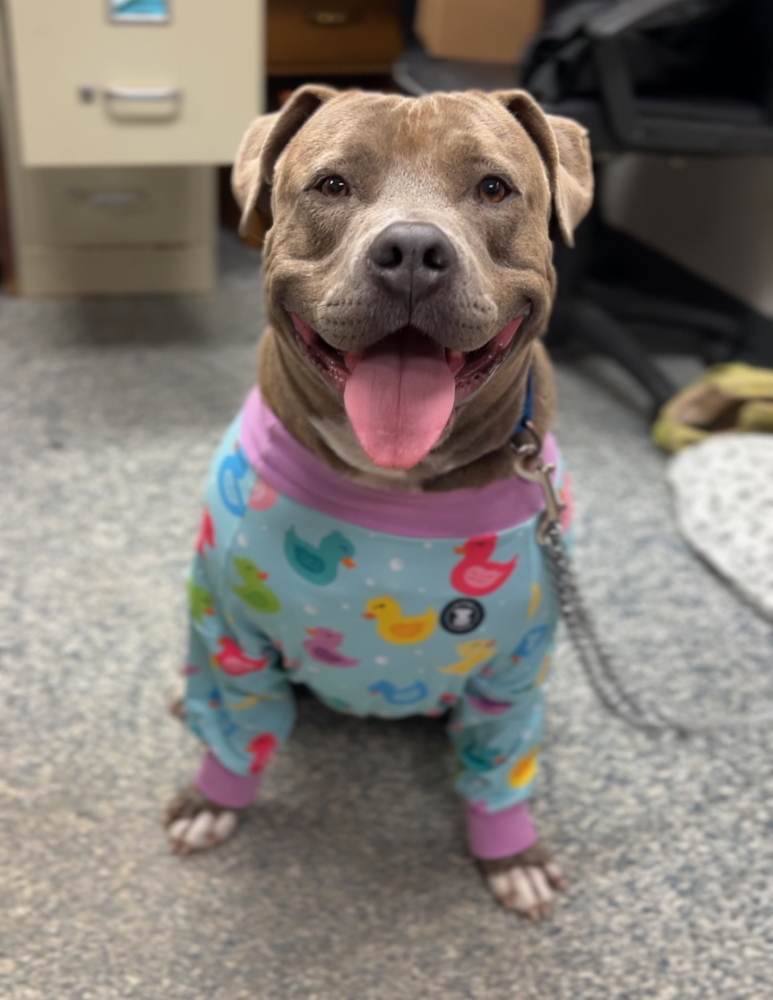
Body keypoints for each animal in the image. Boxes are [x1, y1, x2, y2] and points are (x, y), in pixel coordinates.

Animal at [164, 88, 592, 920]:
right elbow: (235, 723)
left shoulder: (514, 673)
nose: (414, 251)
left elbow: (498, 765)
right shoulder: (230, 637)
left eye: (493, 188)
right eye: (331, 185)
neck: (394, 480)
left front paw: (509, 852)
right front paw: (214, 798)